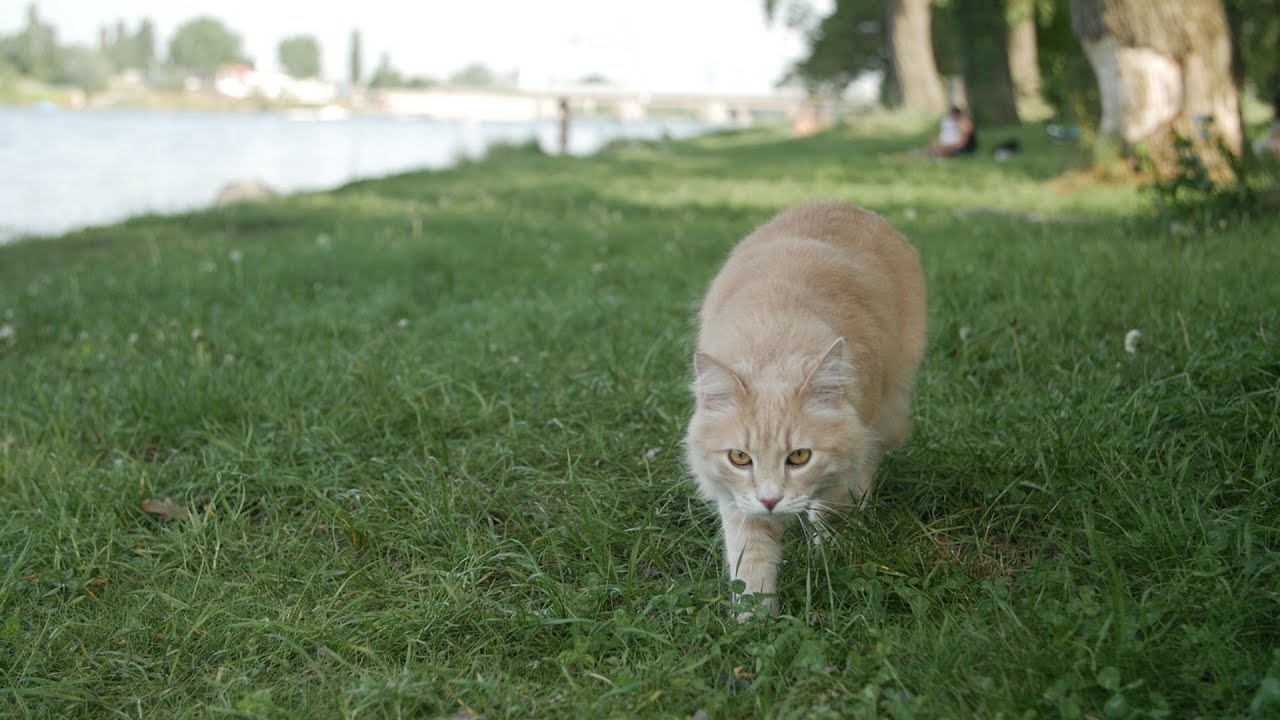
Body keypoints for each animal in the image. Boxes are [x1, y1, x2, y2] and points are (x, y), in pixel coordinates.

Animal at [686, 202, 926, 617]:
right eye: (739, 458)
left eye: (799, 457)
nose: (770, 500)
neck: (774, 343)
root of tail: (842, 203)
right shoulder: (738, 502)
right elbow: (751, 560)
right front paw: (755, 620)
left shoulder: (844, 462)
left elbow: (829, 510)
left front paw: (829, 555)